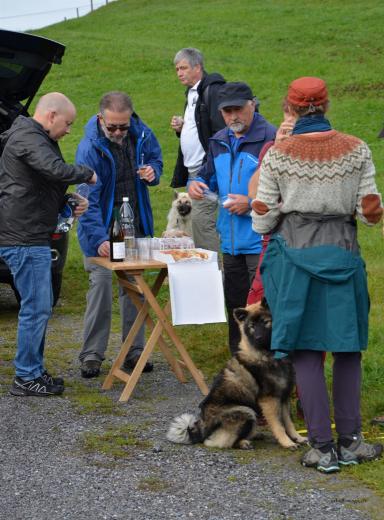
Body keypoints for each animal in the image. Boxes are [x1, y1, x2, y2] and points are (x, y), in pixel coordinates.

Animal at [166, 300, 308, 450]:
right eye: (252, 327)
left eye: (265, 322)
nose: (258, 338)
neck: (267, 355)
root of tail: (202, 431)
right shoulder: (270, 400)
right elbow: (279, 425)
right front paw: (287, 442)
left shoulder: (284, 398)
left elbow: (289, 423)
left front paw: (297, 438)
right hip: (245, 411)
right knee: (219, 442)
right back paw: (244, 442)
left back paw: (254, 435)